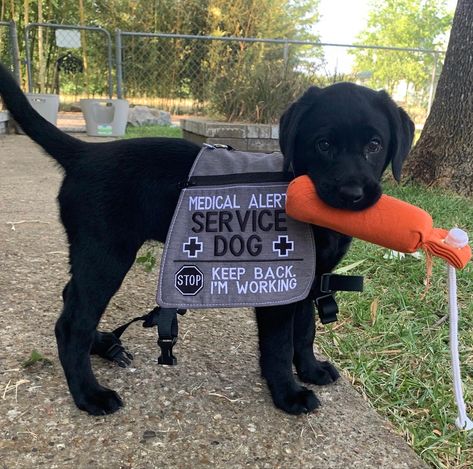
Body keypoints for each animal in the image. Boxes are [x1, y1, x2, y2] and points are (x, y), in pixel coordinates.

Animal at [0, 64, 412, 414]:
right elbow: (280, 345)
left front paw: (310, 370)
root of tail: (85, 152)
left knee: (72, 302)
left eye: (374, 145)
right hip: (106, 257)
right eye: (323, 144)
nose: (352, 194)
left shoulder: (308, 280)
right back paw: (89, 395)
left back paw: (102, 345)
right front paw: (288, 394)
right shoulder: (278, 287)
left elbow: (305, 332)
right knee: (72, 324)